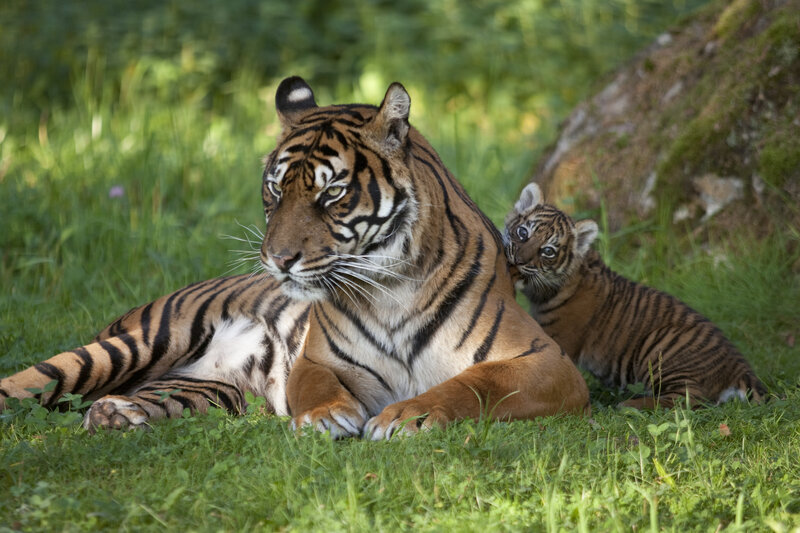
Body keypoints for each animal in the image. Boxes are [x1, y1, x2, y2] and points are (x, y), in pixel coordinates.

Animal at [0, 77, 589, 438]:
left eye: (332, 194)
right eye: (274, 189)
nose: (278, 260)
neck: (393, 287)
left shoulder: (548, 362)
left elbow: (473, 383)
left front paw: (407, 417)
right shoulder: (319, 360)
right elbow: (318, 386)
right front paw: (327, 418)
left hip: (203, 390)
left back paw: (115, 416)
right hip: (132, 345)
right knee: (25, 385)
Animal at [503, 182, 767, 409]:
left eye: (548, 251)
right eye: (523, 232)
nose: (519, 260)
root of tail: (740, 367)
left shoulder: (559, 339)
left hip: (660, 346)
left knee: (687, 400)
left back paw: (628, 405)